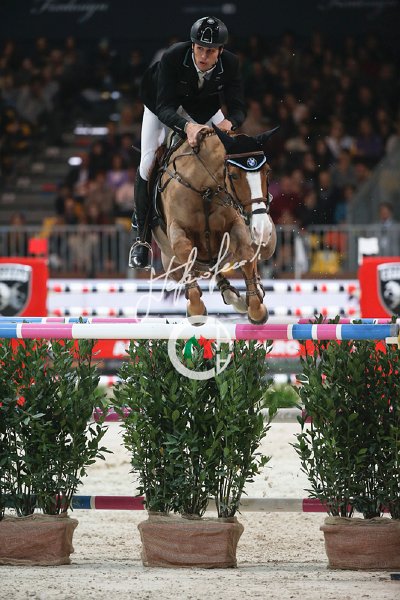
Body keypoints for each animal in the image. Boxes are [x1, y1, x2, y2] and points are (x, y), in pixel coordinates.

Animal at [152, 124, 278, 324]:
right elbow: (185, 254)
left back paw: (246, 294)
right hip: (168, 263)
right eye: (233, 175)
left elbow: (246, 255)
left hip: (265, 246)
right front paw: (196, 310)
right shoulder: (177, 230)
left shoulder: (235, 227)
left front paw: (256, 309)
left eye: (268, 170)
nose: (262, 229)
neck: (205, 189)